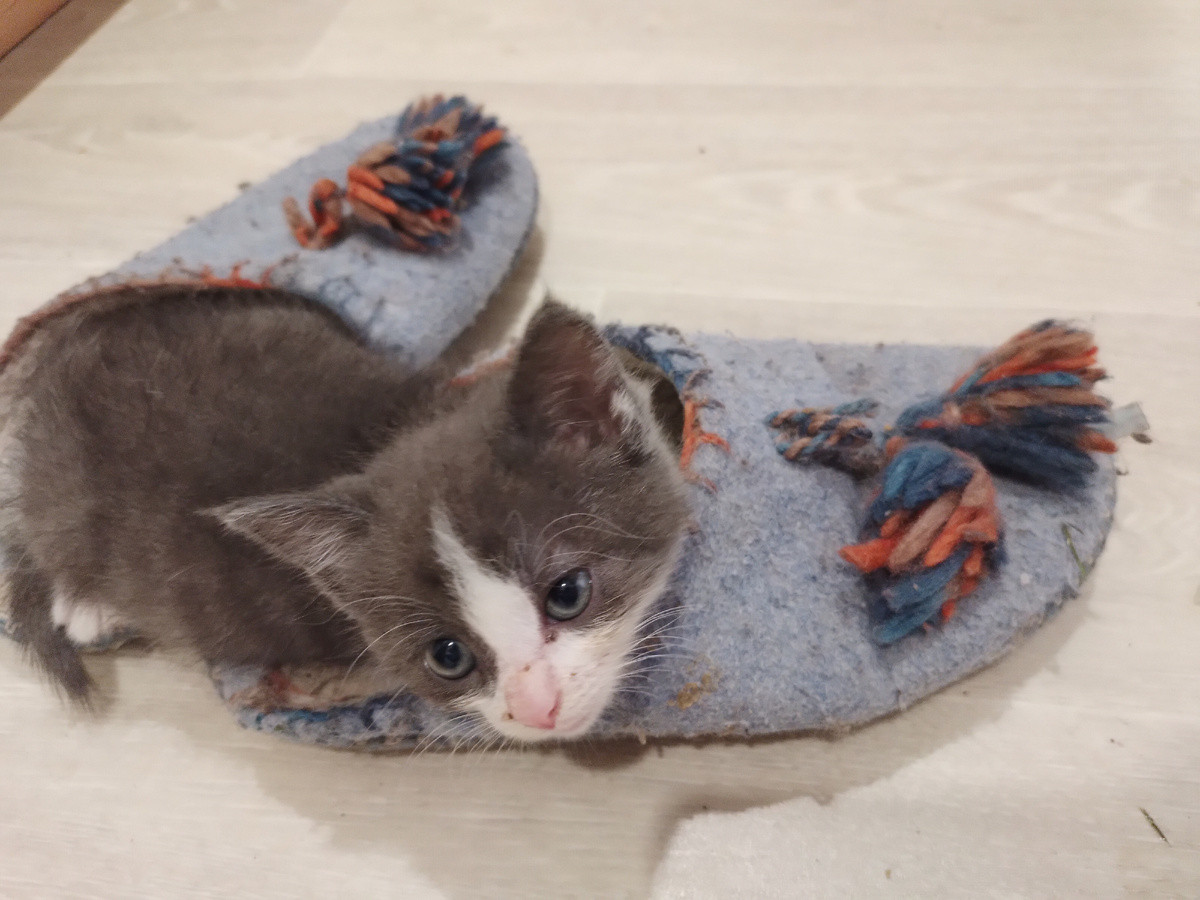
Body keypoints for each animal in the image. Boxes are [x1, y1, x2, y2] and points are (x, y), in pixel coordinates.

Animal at [2, 285, 690, 743]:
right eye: (448, 657)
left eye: (567, 593)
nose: (536, 708)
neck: (406, 421)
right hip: (66, 500)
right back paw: (85, 606)